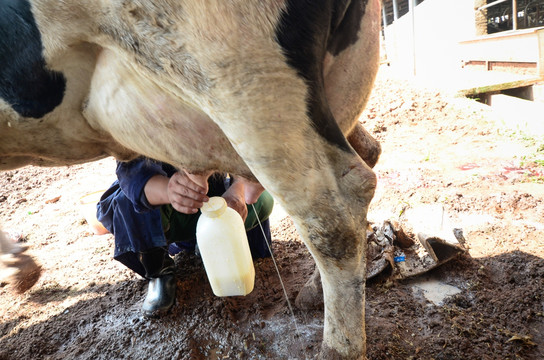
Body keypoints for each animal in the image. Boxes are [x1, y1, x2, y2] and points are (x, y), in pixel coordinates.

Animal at [0, 1, 382, 358]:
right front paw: (20, 266)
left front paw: (19, 267)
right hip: (334, 82)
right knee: (367, 155)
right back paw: (312, 293)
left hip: (243, 79)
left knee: (332, 216)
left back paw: (336, 348)